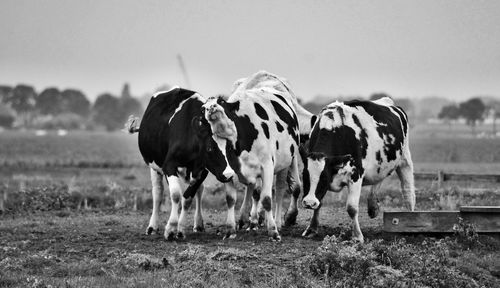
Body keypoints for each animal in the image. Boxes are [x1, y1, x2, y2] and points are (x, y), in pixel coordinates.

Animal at [127, 86, 234, 240]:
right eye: (209, 148)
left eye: (229, 146)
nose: (229, 174)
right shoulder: (168, 166)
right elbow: (176, 195)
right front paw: (171, 228)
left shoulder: (202, 171)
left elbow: (187, 198)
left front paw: (181, 229)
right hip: (154, 166)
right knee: (157, 193)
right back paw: (152, 227)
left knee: (199, 191)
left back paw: (198, 224)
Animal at [201, 71, 314, 240]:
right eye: (203, 108)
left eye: (221, 101)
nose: (211, 107)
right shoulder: (229, 169)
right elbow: (231, 199)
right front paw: (231, 229)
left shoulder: (268, 165)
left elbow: (268, 198)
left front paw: (273, 230)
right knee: (254, 189)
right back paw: (249, 219)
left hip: (284, 161)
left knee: (279, 190)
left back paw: (275, 221)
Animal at [300, 97, 414, 243]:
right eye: (304, 176)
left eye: (324, 177)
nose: (309, 202)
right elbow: (319, 202)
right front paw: (311, 229)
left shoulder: (355, 175)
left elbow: (351, 208)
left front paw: (357, 236)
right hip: (380, 163)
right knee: (378, 179)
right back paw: (373, 205)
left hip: (404, 159)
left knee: (408, 192)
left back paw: (408, 218)